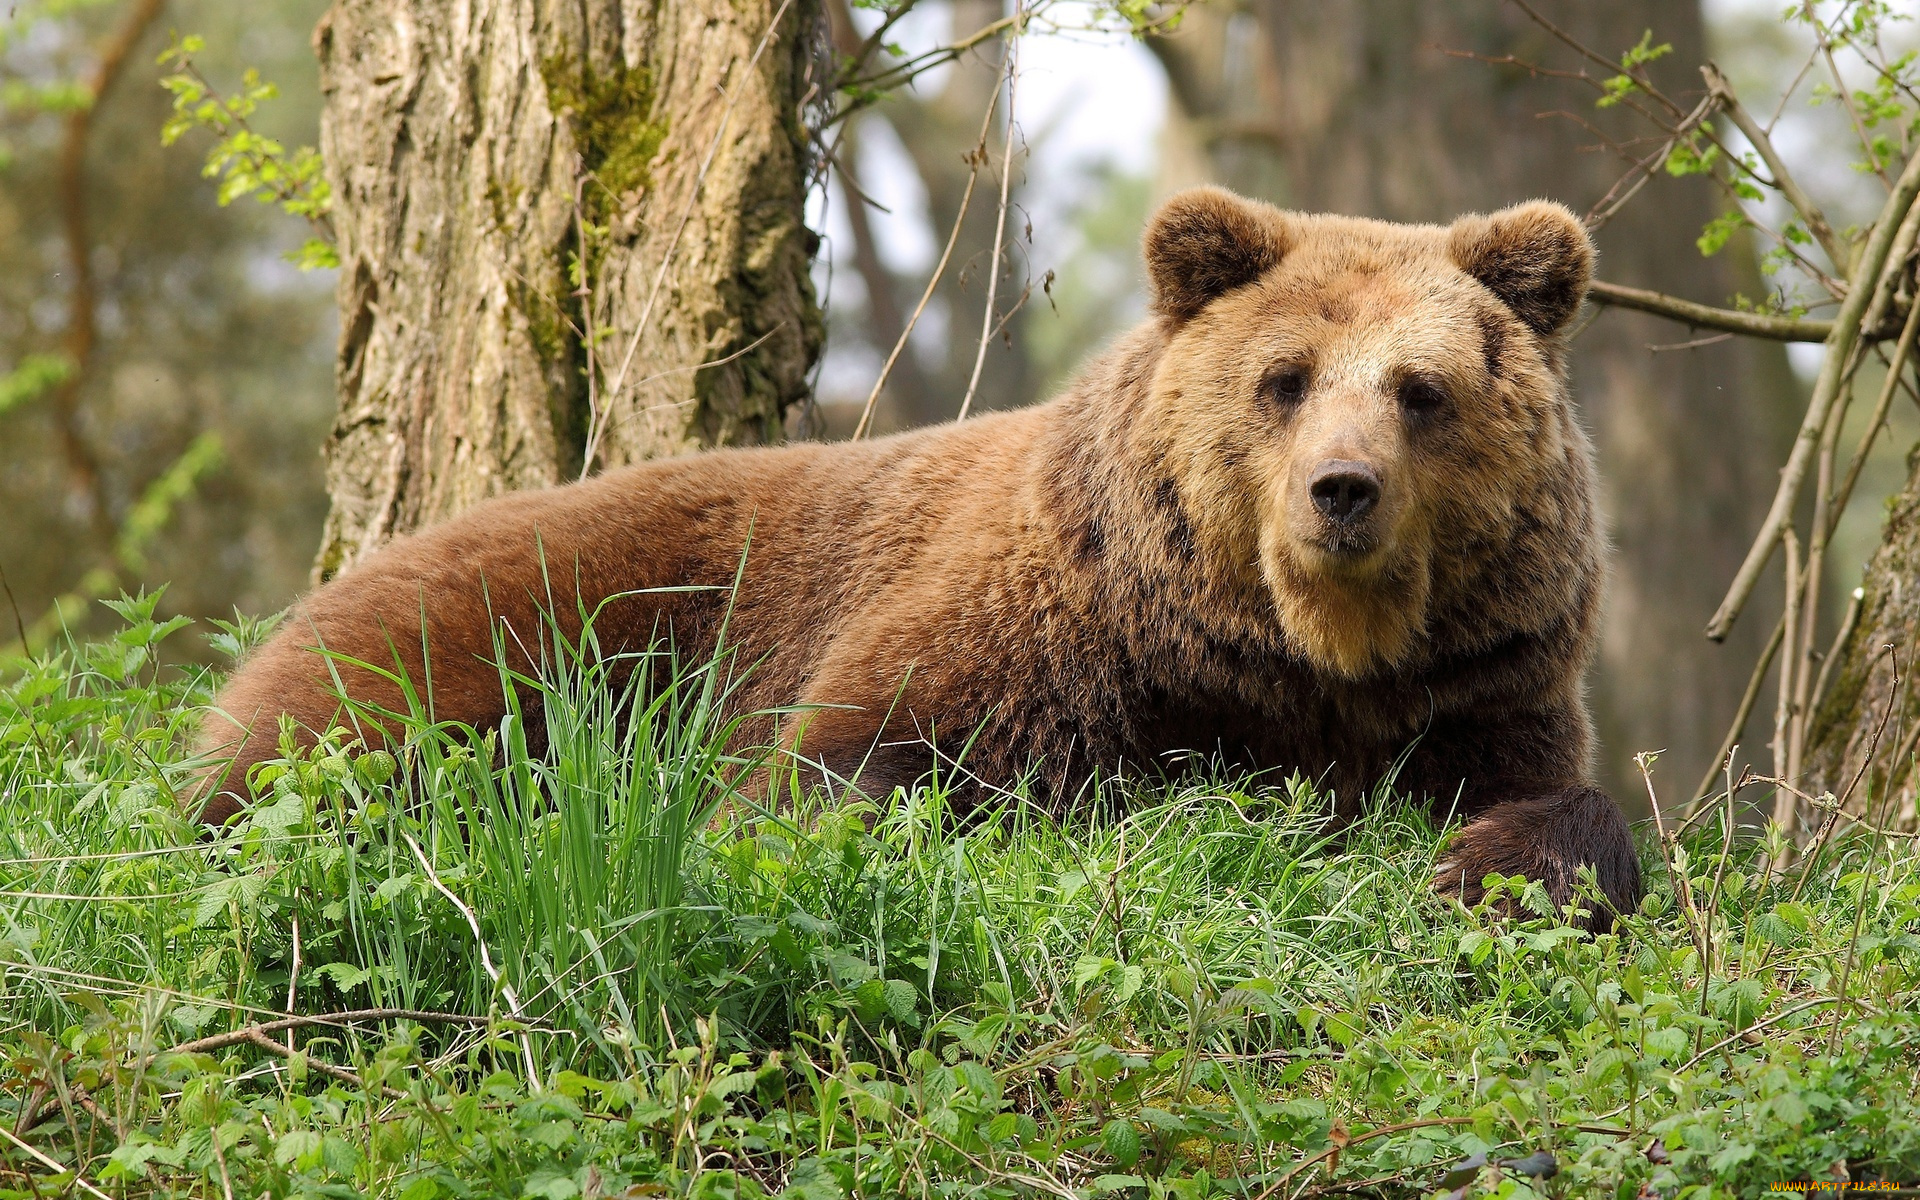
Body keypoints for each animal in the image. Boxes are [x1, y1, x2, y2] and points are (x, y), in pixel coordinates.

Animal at [191, 185, 1635, 925]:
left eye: (1422, 390)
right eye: (1284, 379)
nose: (1343, 493)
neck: (1292, 659)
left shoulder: (1477, 684)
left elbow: (1561, 800)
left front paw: (1490, 865)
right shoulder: (1042, 636)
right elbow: (847, 777)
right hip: (517, 635)